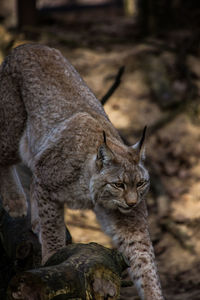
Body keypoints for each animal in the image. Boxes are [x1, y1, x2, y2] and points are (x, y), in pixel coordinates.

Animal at [0, 44, 164, 300]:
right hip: (13, 130)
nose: (132, 203)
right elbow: (53, 229)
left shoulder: (130, 221)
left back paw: (33, 217)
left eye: (140, 184)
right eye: (118, 184)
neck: (89, 190)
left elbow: (144, 263)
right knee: (5, 157)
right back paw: (15, 201)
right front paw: (51, 259)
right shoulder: (48, 183)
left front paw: (153, 294)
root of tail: (26, 46)